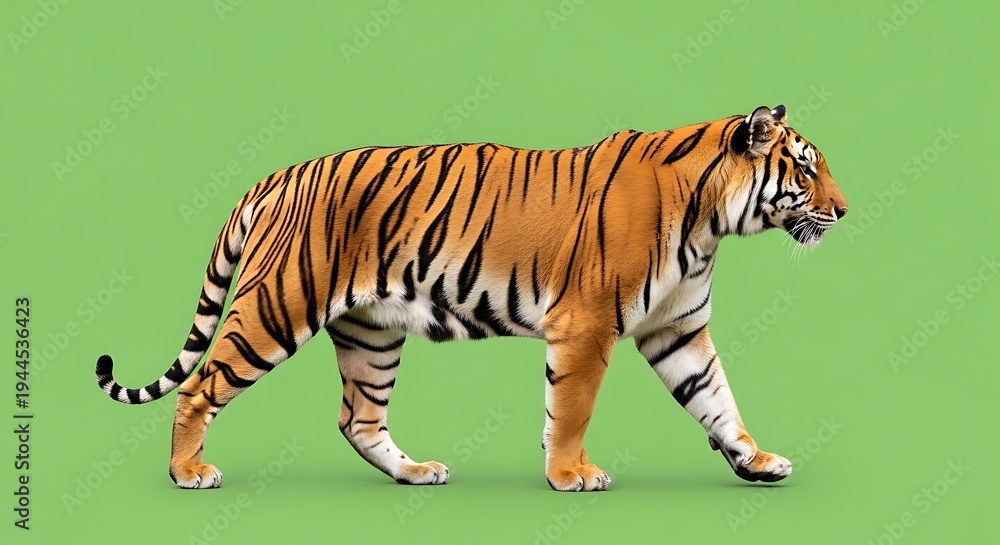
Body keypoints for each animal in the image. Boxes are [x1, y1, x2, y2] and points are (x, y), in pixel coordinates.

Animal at [95, 104, 847, 491]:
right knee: (201, 387)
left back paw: (415, 472)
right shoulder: (586, 327)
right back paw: (187, 471)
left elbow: (718, 398)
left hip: (371, 333)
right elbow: (571, 410)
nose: (844, 210)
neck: (709, 223)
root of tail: (278, 175)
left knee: (358, 419)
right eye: (806, 168)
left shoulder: (679, 329)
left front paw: (755, 460)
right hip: (276, 307)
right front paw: (570, 474)